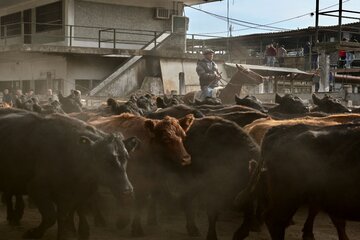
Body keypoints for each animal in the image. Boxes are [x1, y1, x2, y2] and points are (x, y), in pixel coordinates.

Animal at [0, 109, 138, 240]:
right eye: (105, 159)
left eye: (126, 157)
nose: (127, 190)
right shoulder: (37, 188)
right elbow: (51, 216)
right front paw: (33, 233)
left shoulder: (74, 195)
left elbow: (65, 215)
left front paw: (66, 234)